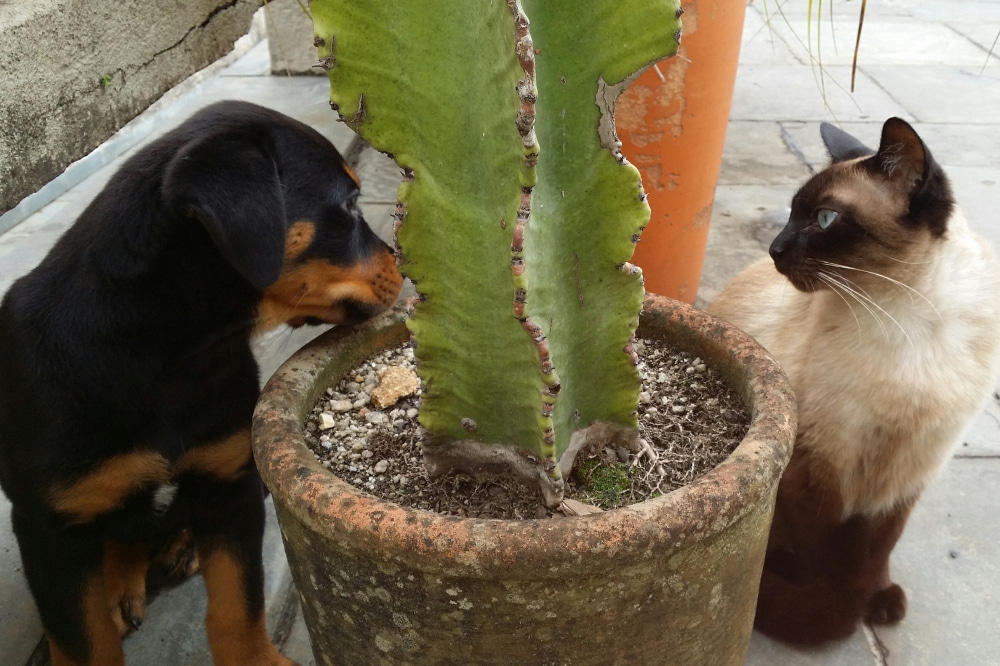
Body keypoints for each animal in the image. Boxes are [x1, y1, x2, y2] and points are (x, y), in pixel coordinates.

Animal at [0, 100, 402, 664]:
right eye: (347, 204)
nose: (401, 258)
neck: (172, 363)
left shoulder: (231, 479)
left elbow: (238, 604)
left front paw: (257, 660)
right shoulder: (48, 532)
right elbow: (85, 643)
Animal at [708, 116, 1000, 640]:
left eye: (824, 219)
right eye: (790, 213)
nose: (775, 248)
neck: (904, 320)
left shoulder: (909, 469)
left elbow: (878, 548)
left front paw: (875, 598)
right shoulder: (819, 462)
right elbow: (825, 551)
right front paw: (830, 601)